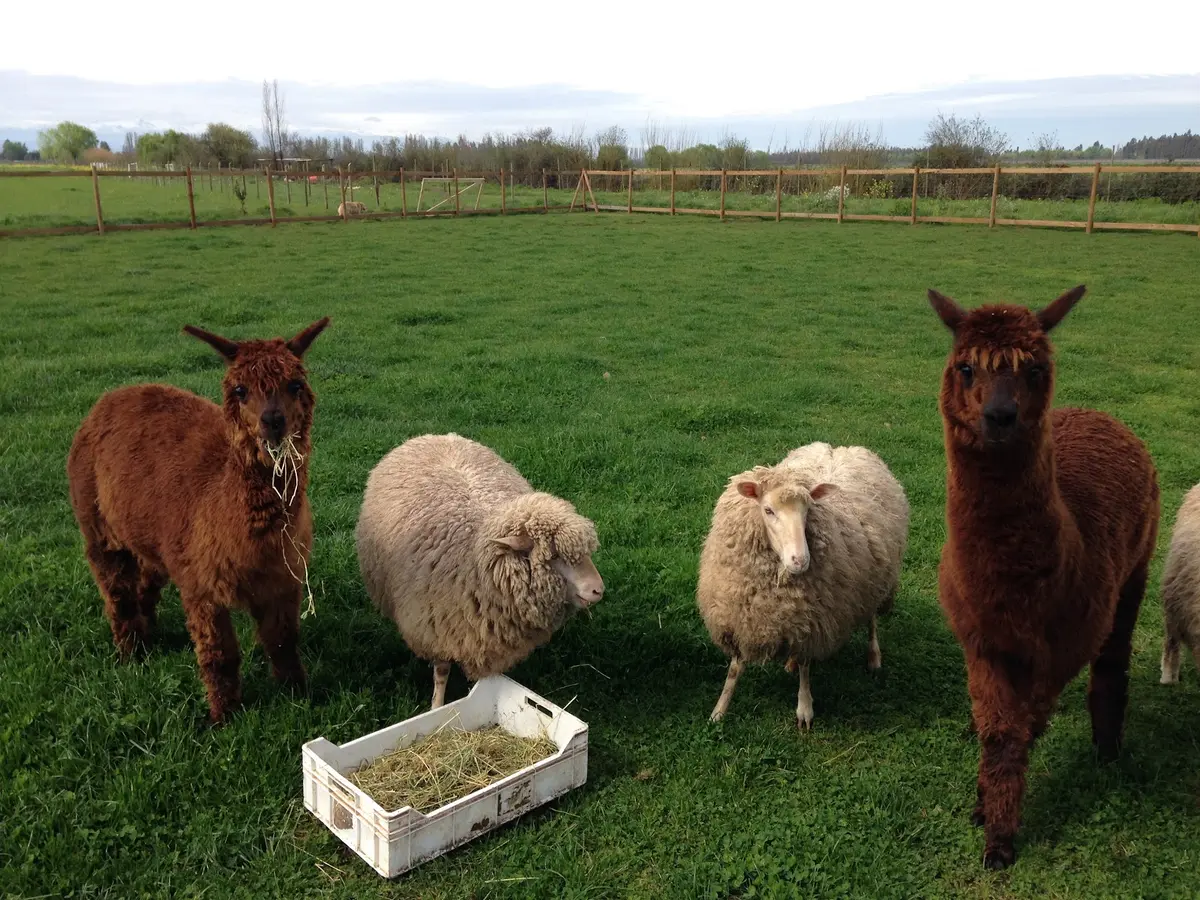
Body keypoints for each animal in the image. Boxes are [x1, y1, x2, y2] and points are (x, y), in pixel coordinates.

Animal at [67, 317, 331, 723]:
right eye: (240, 389)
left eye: (295, 384)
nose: (273, 421)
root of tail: (109, 398)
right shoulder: (202, 585)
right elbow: (219, 654)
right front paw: (224, 716)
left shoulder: (283, 578)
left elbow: (283, 641)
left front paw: (297, 694)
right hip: (95, 520)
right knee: (116, 591)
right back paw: (131, 653)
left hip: (152, 532)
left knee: (147, 577)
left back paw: (148, 631)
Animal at [355, 433, 605, 708]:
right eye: (554, 556)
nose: (598, 589)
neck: (475, 554)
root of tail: (438, 435)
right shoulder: (438, 627)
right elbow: (441, 672)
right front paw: (437, 706)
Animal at [697, 441, 909, 730]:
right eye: (768, 510)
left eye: (807, 509)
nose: (800, 560)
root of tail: (841, 447)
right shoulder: (743, 616)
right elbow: (735, 669)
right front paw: (719, 710)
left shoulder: (814, 621)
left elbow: (807, 667)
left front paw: (804, 709)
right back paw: (790, 662)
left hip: (878, 578)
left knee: (872, 619)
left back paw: (873, 657)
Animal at [928, 285, 1159, 870]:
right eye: (965, 366)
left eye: (1034, 369)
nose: (1000, 415)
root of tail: (1103, 415)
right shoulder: (981, 639)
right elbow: (997, 731)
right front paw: (986, 812)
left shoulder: (1058, 650)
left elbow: (1019, 732)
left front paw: (998, 836)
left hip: (1136, 570)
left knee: (1112, 664)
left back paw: (1107, 751)